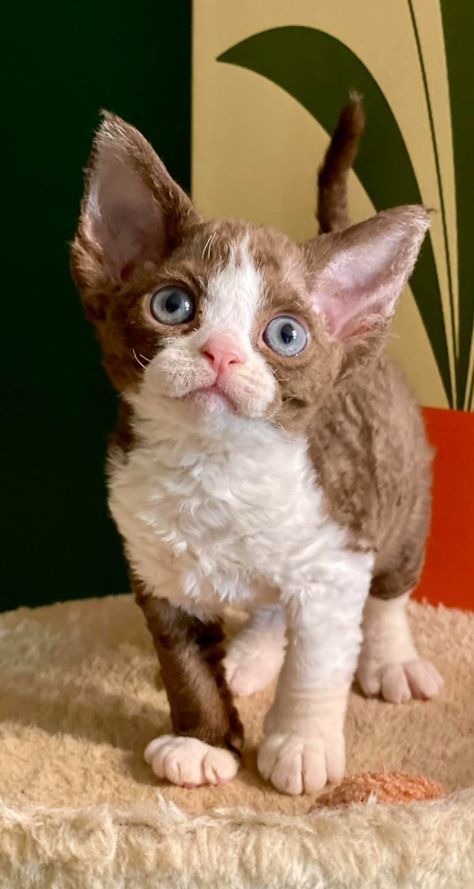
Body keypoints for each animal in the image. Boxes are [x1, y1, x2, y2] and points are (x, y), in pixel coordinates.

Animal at [71, 100, 444, 796]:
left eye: (286, 335)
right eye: (172, 304)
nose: (222, 353)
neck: (213, 470)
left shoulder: (334, 560)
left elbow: (317, 663)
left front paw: (300, 744)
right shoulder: (157, 567)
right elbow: (184, 666)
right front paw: (202, 741)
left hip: (396, 482)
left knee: (387, 591)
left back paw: (390, 660)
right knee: (272, 607)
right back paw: (249, 657)